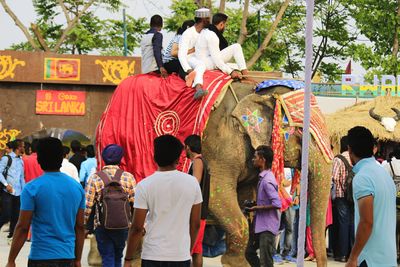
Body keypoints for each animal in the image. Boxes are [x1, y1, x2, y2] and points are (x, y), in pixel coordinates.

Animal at [94, 75, 332, 267]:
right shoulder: (221, 148)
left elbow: (245, 201)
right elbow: (220, 197)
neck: (254, 90)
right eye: (301, 133)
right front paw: (235, 262)